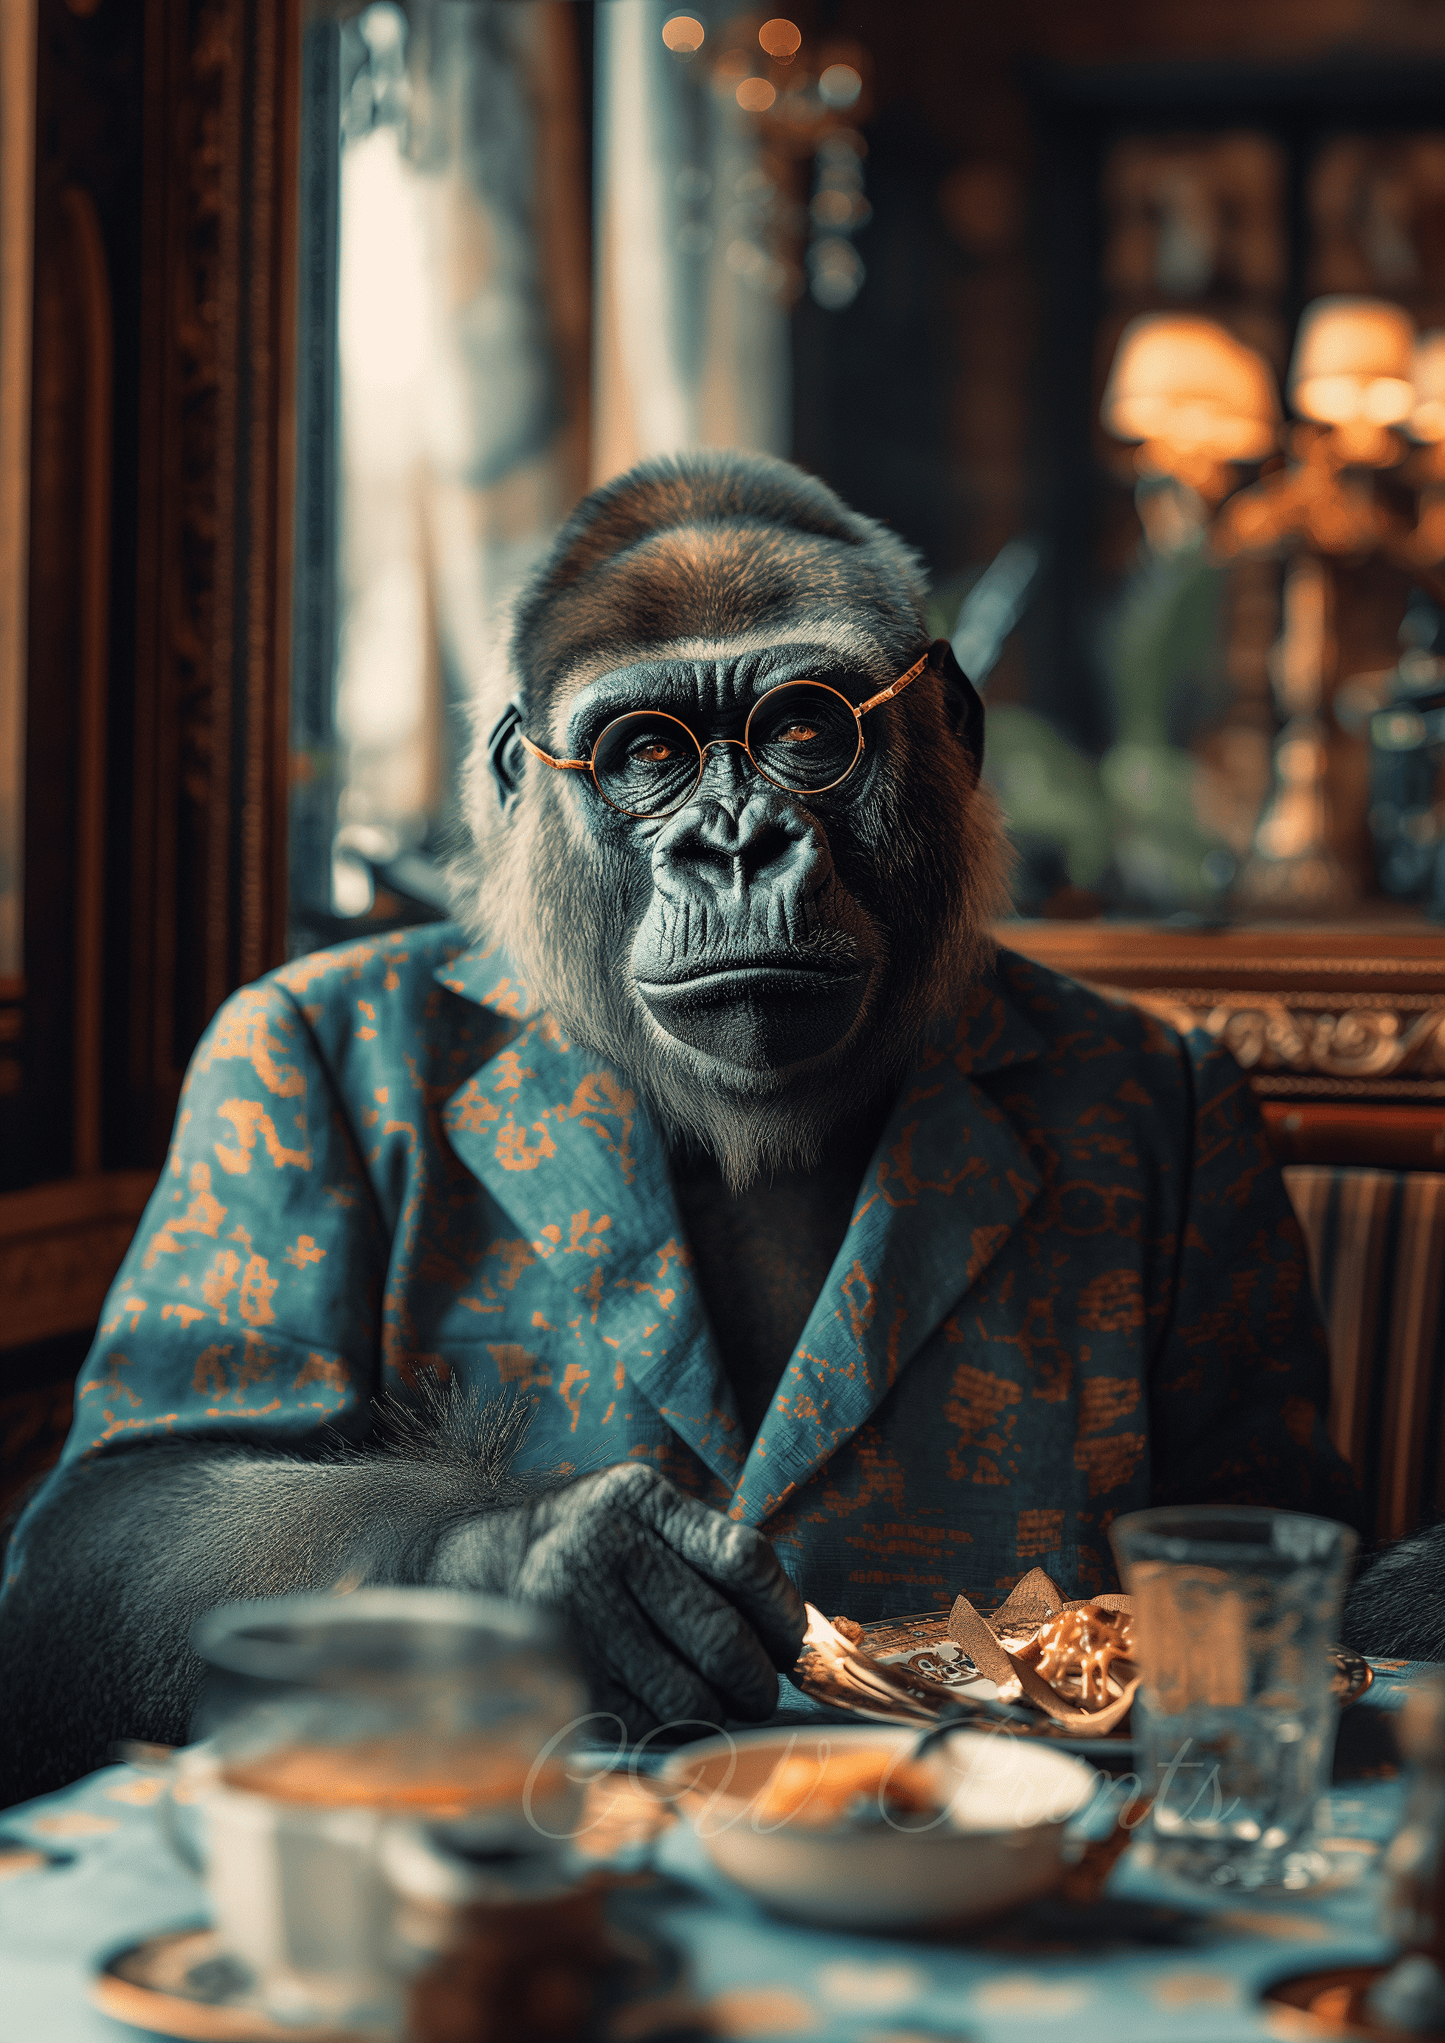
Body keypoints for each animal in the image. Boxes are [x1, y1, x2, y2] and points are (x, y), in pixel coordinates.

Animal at [0, 451, 1361, 1806]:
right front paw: (556, 1571)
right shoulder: (255, 1065)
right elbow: (129, 1497)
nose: (736, 843)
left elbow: (1254, 1500)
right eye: (644, 750)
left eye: (803, 728)